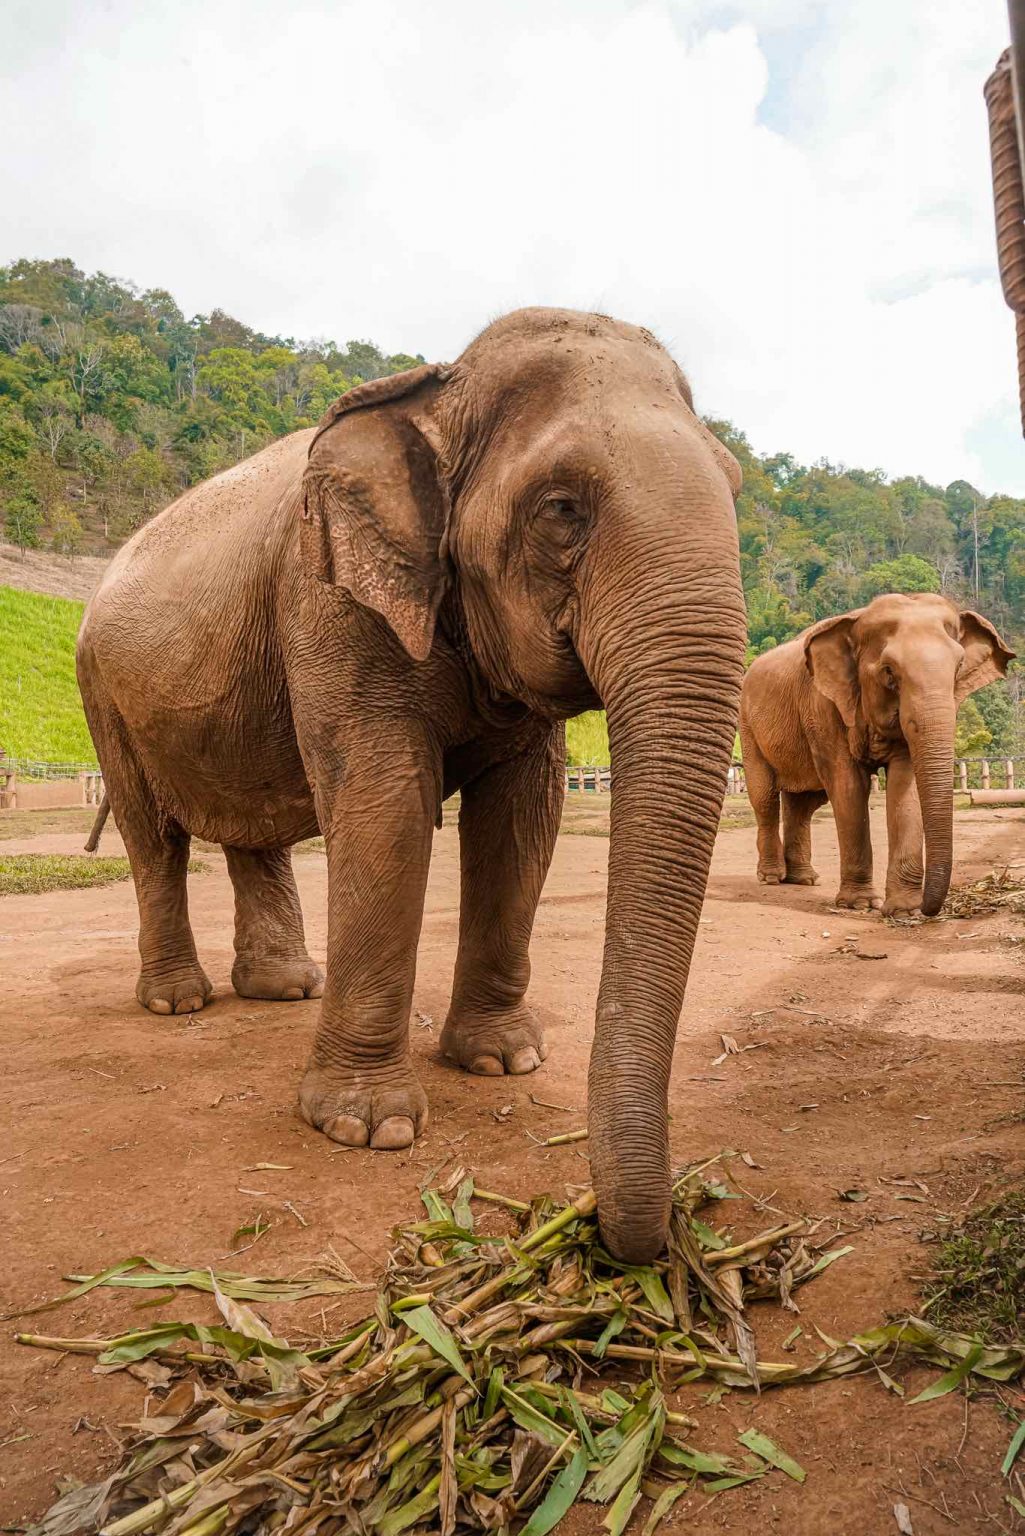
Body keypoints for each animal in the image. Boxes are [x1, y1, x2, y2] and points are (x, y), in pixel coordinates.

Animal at [77, 307, 747, 1262]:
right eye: (561, 508)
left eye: (733, 489)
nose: (625, 1239)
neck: (440, 390)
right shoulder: (328, 600)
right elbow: (384, 805)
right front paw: (368, 1128)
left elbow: (524, 819)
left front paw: (502, 1062)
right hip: (102, 690)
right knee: (153, 835)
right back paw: (178, 1003)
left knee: (253, 831)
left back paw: (284, 988)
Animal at [738, 593, 1014, 916]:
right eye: (889, 671)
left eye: (959, 666)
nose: (928, 908)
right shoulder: (823, 705)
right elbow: (848, 786)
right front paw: (860, 905)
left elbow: (905, 785)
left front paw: (903, 910)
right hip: (748, 725)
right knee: (765, 797)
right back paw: (771, 877)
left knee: (805, 802)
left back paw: (804, 879)